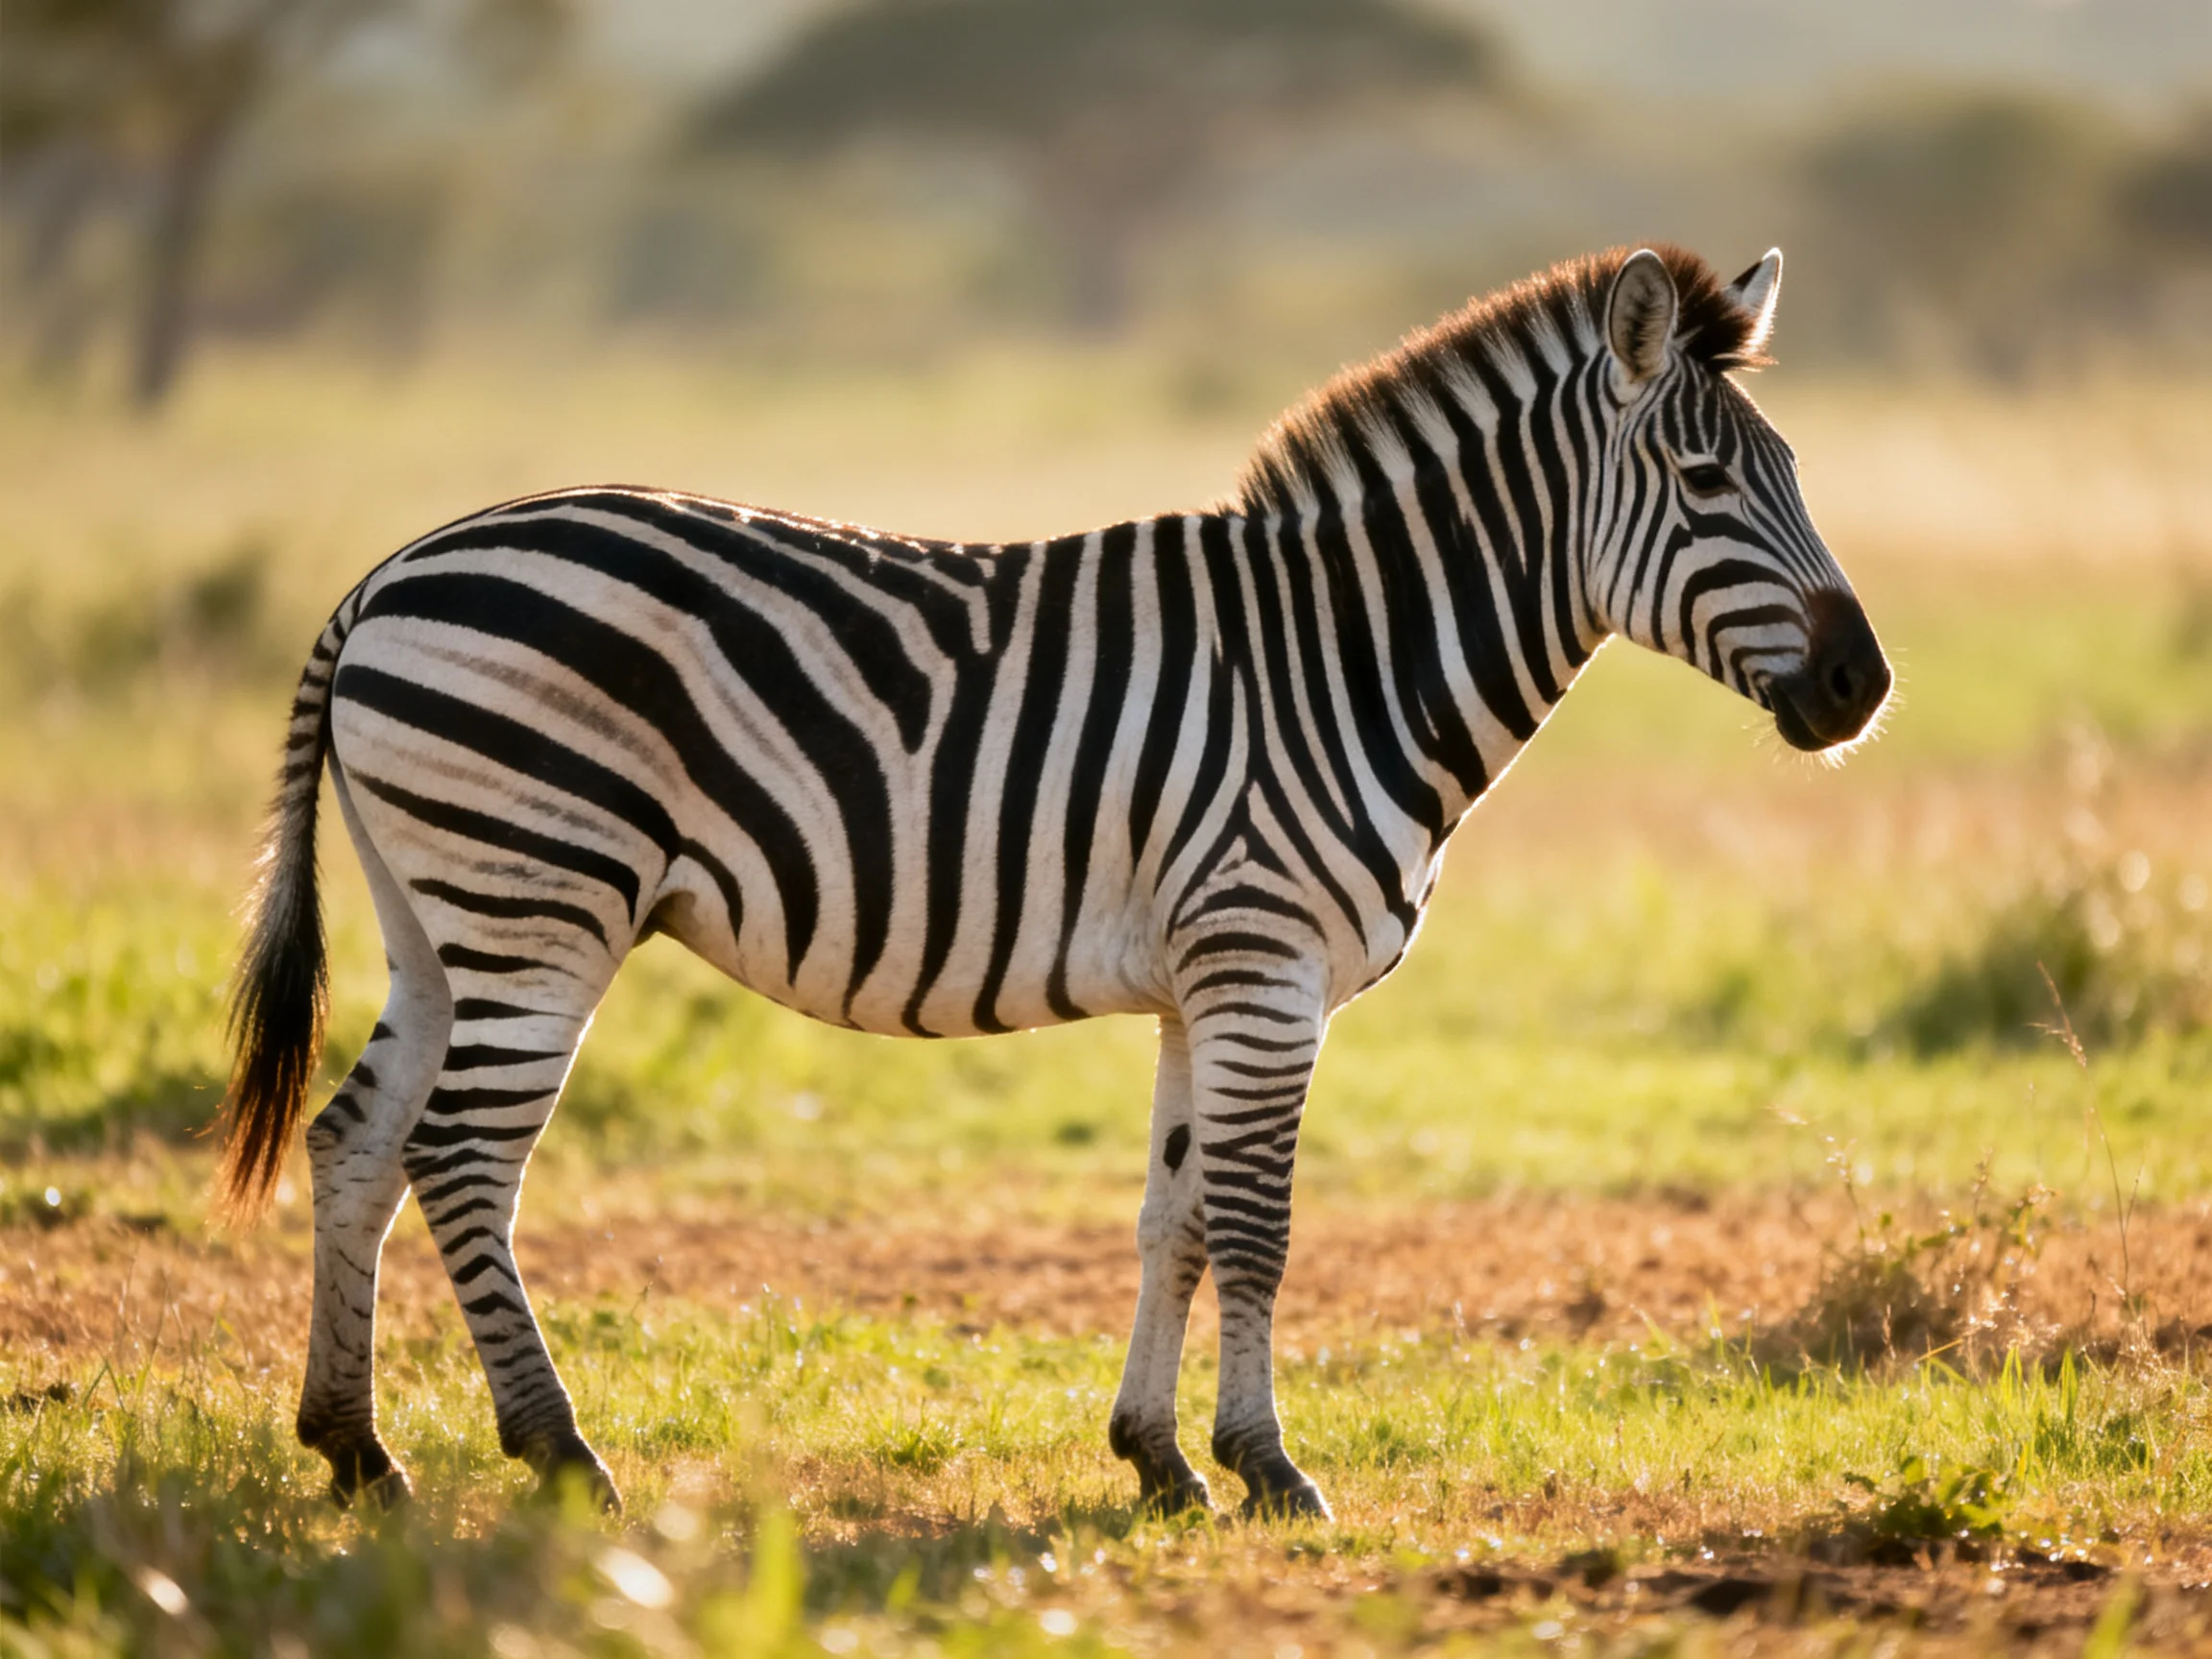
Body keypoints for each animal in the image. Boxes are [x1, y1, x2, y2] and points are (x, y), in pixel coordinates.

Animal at [220, 244, 1889, 1520]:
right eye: (1703, 479)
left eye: (1799, 473)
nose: (1864, 687)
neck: (1349, 662)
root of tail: (388, 572)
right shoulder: (1265, 964)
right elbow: (1260, 1222)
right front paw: (1270, 1469)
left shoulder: (1202, 983)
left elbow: (1178, 1219)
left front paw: (1159, 1462)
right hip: (544, 897)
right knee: (460, 1159)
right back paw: (561, 1455)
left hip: (438, 917)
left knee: (357, 1141)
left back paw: (357, 1451)